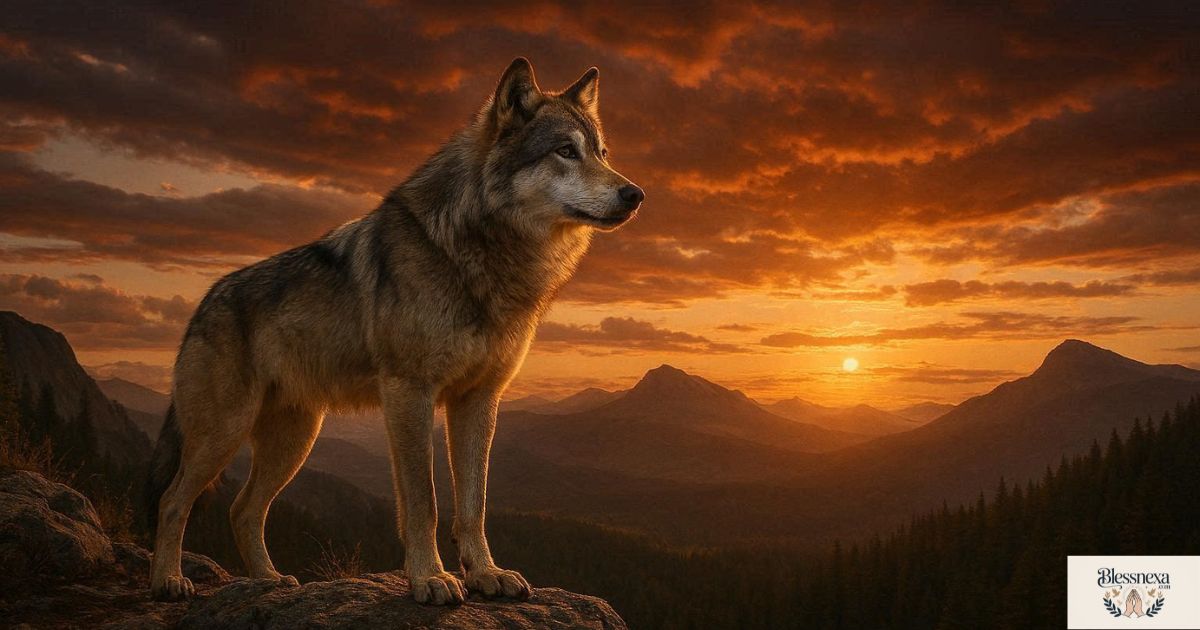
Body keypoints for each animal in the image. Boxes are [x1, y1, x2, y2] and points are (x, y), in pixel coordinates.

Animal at [145, 58, 643, 605]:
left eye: (601, 153)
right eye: (565, 151)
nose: (636, 194)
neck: (479, 253)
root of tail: (203, 304)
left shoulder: (478, 398)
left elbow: (474, 503)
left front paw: (486, 574)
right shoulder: (410, 392)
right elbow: (424, 502)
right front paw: (430, 578)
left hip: (295, 440)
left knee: (243, 509)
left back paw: (269, 582)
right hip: (225, 432)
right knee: (173, 500)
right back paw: (169, 581)